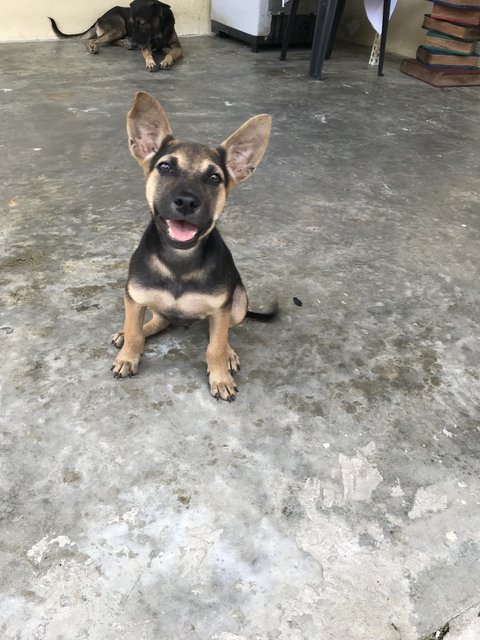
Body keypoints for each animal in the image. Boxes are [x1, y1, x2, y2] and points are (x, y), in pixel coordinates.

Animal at [49, 0, 182, 71]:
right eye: (131, 24)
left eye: (142, 24)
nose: (135, 44)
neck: (158, 30)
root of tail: (99, 18)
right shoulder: (145, 44)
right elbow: (147, 53)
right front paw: (150, 63)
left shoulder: (178, 47)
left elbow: (171, 53)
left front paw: (166, 61)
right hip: (119, 28)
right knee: (92, 40)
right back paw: (93, 47)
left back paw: (126, 43)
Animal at [109, 91, 274, 400]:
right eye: (165, 167)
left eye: (214, 177)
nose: (186, 202)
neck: (179, 261)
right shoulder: (133, 297)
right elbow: (135, 333)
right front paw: (128, 355)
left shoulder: (221, 309)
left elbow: (215, 346)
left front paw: (220, 375)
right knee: (157, 321)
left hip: (239, 300)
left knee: (223, 331)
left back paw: (229, 353)